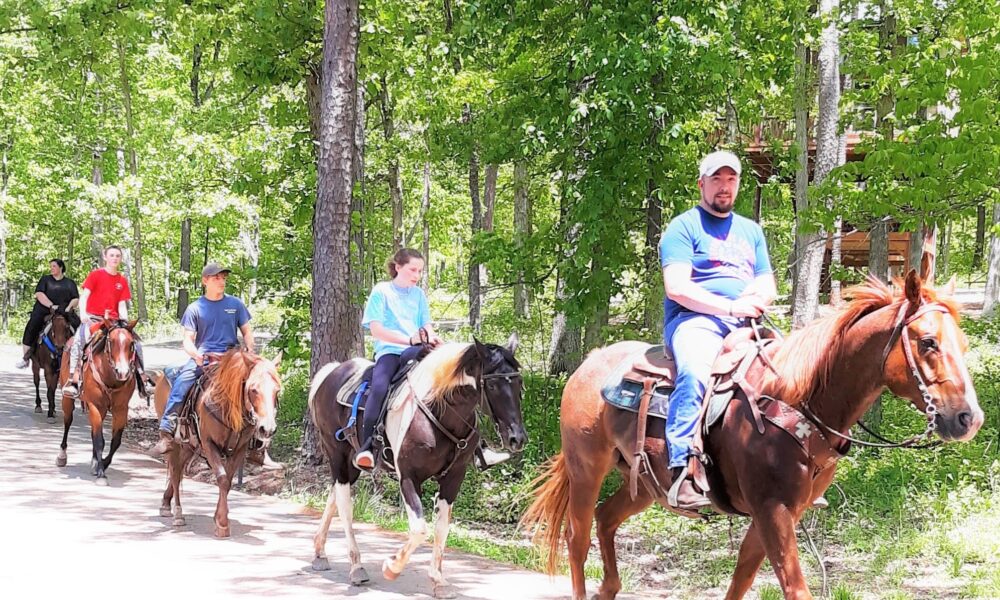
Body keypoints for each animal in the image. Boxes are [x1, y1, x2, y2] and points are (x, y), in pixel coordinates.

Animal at [57, 318, 140, 482]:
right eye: (111, 342)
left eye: (131, 343)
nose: (123, 372)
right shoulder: (95, 405)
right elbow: (100, 440)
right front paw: (101, 472)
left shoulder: (121, 408)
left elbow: (115, 441)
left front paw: (102, 464)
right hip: (67, 399)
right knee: (68, 422)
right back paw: (62, 456)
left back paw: (95, 461)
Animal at [154, 350, 284, 536]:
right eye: (253, 389)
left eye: (277, 390)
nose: (267, 429)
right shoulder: (209, 445)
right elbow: (222, 479)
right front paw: (222, 523)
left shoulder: (239, 450)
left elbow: (228, 482)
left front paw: (218, 517)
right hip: (175, 444)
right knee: (175, 471)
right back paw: (177, 514)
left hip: (189, 445)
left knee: (178, 471)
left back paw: (166, 503)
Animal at [308, 338, 528, 600]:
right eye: (492, 385)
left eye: (519, 383)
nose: (517, 438)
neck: (439, 412)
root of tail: (332, 372)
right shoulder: (409, 478)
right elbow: (420, 529)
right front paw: (392, 567)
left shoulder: (454, 478)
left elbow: (441, 527)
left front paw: (439, 580)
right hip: (337, 455)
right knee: (344, 506)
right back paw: (356, 567)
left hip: (351, 464)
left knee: (334, 496)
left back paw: (320, 553)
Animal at [524, 268, 984, 600]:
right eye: (928, 342)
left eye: (961, 343)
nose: (969, 418)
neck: (798, 401)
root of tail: (589, 362)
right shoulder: (772, 510)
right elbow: (792, 587)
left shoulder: (781, 513)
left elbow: (743, 576)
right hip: (587, 468)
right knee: (578, 537)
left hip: (644, 485)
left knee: (606, 519)